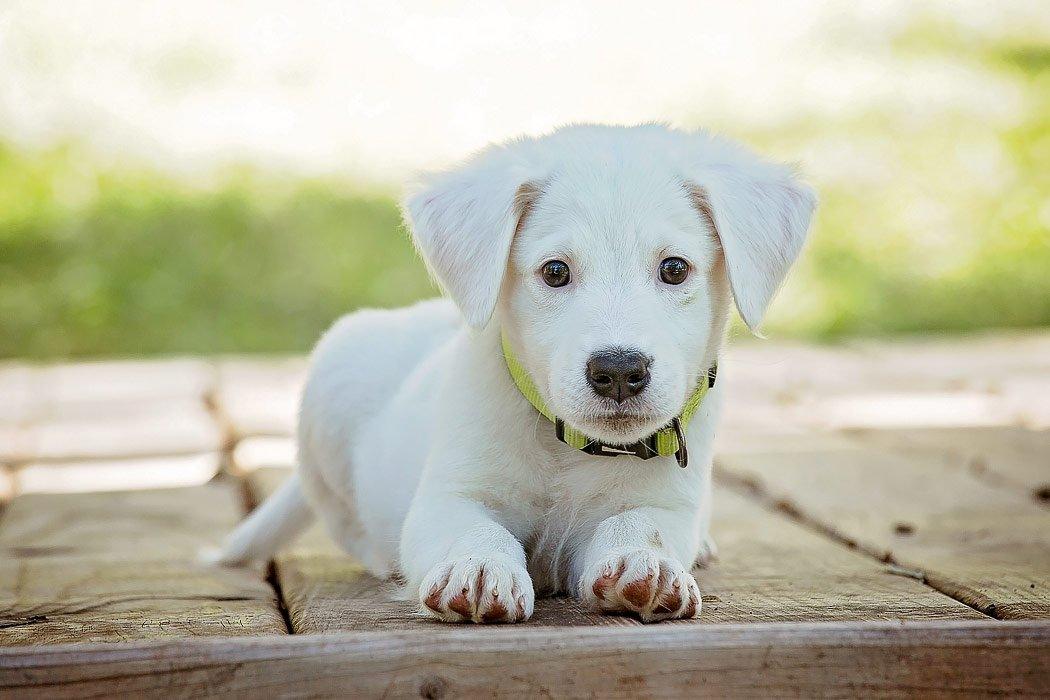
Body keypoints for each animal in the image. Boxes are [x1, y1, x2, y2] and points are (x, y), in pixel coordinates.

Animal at [217, 124, 814, 625]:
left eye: (674, 268)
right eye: (555, 272)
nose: (619, 371)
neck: (567, 447)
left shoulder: (666, 503)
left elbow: (642, 526)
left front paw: (647, 565)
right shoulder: (448, 496)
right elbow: (473, 529)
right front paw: (478, 568)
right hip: (332, 386)